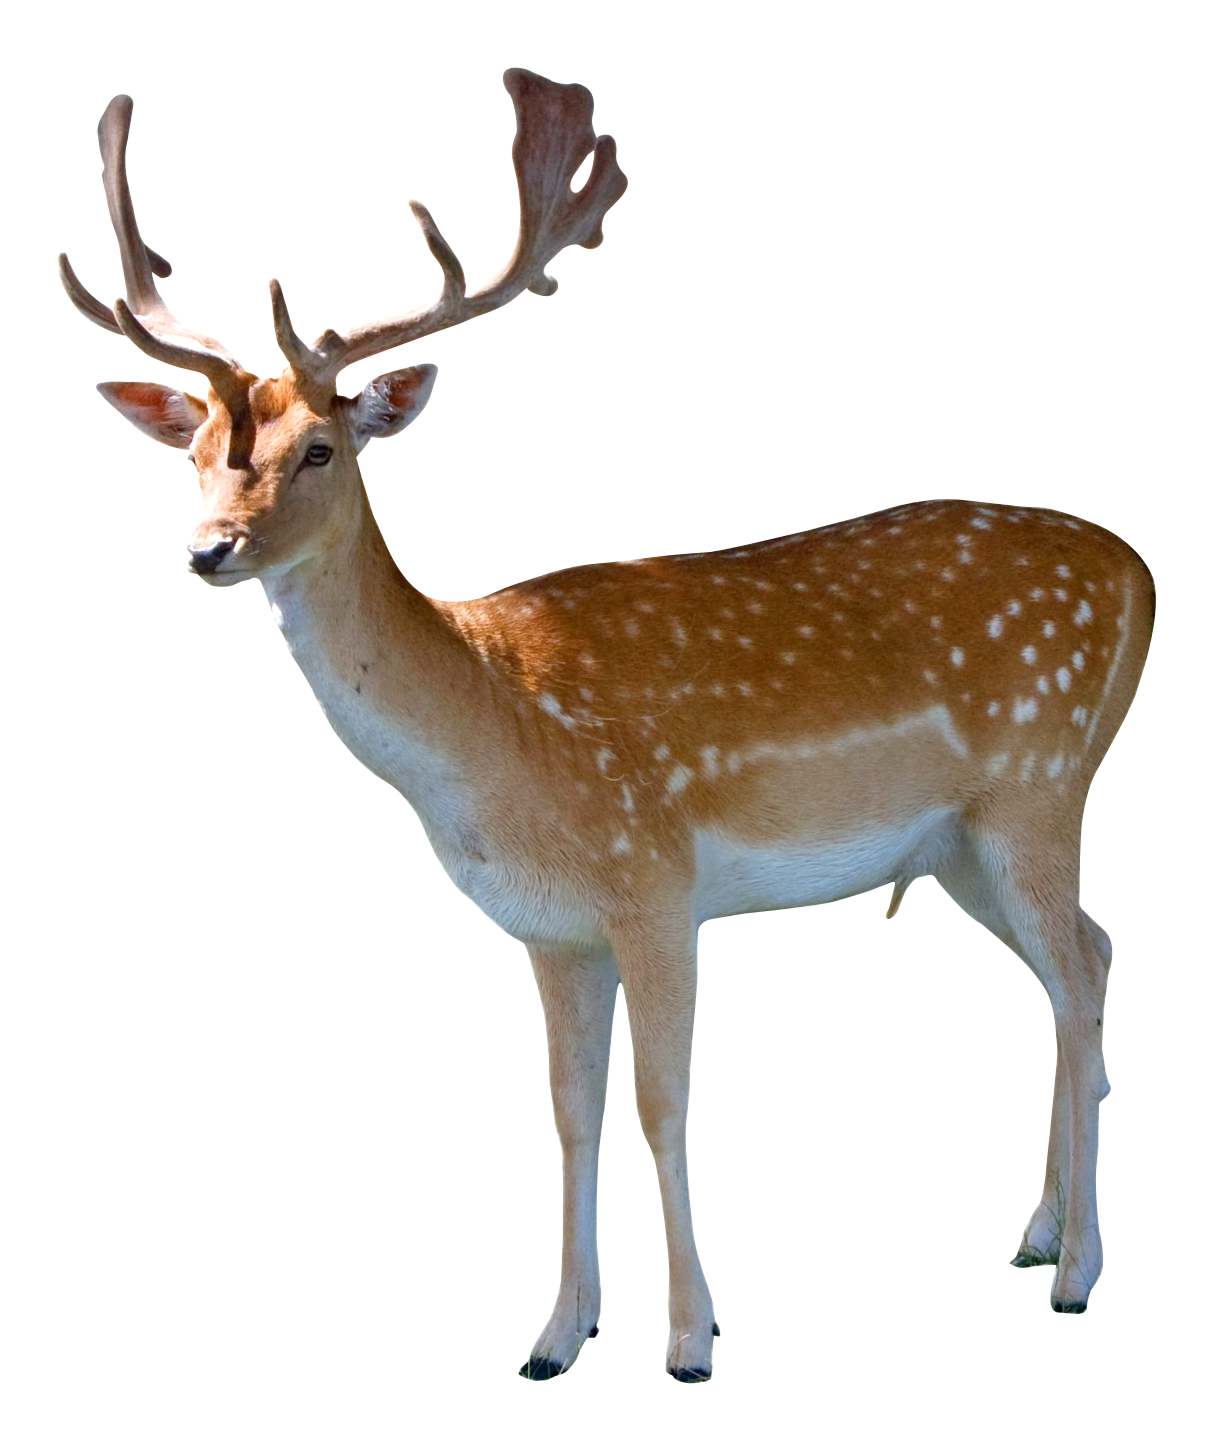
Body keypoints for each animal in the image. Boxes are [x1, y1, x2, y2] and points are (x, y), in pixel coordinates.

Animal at [61, 69, 1154, 1384]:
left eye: (318, 447)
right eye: (196, 454)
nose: (208, 549)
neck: (493, 729)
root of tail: (1141, 571)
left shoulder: (655, 883)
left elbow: (658, 1103)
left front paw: (689, 1338)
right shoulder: (553, 928)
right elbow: (567, 1112)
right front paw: (554, 1334)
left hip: (1041, 782)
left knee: (1079, 972)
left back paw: (1081, 1271)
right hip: (958, 848)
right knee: (1086, 956)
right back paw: (1034, 1234)